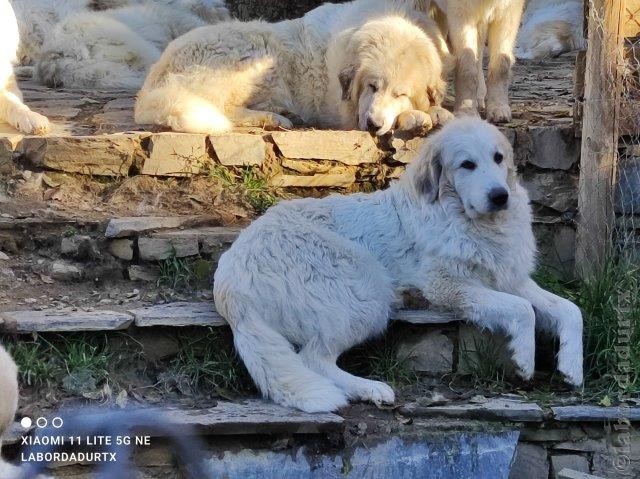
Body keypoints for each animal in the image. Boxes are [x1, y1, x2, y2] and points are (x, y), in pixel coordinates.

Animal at [136, 0, 450, 136]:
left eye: (400, 94)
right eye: (371, 86)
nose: (372, 125)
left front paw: (437, 112)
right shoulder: (347, 112)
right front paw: (416, 117)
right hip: (257, 53)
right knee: (222, 110)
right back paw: (275, 119)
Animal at [212, 118, 584, 414]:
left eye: (498, 158)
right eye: (467, 165)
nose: (500, 196)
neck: (469, 221)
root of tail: (230, 278)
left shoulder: (511, 279)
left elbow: (570, 310)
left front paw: (572, 367)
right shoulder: (449, 287)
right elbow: (523, 310)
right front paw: (525, 359)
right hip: (366, 289)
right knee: (312, 358)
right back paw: (371, 389)